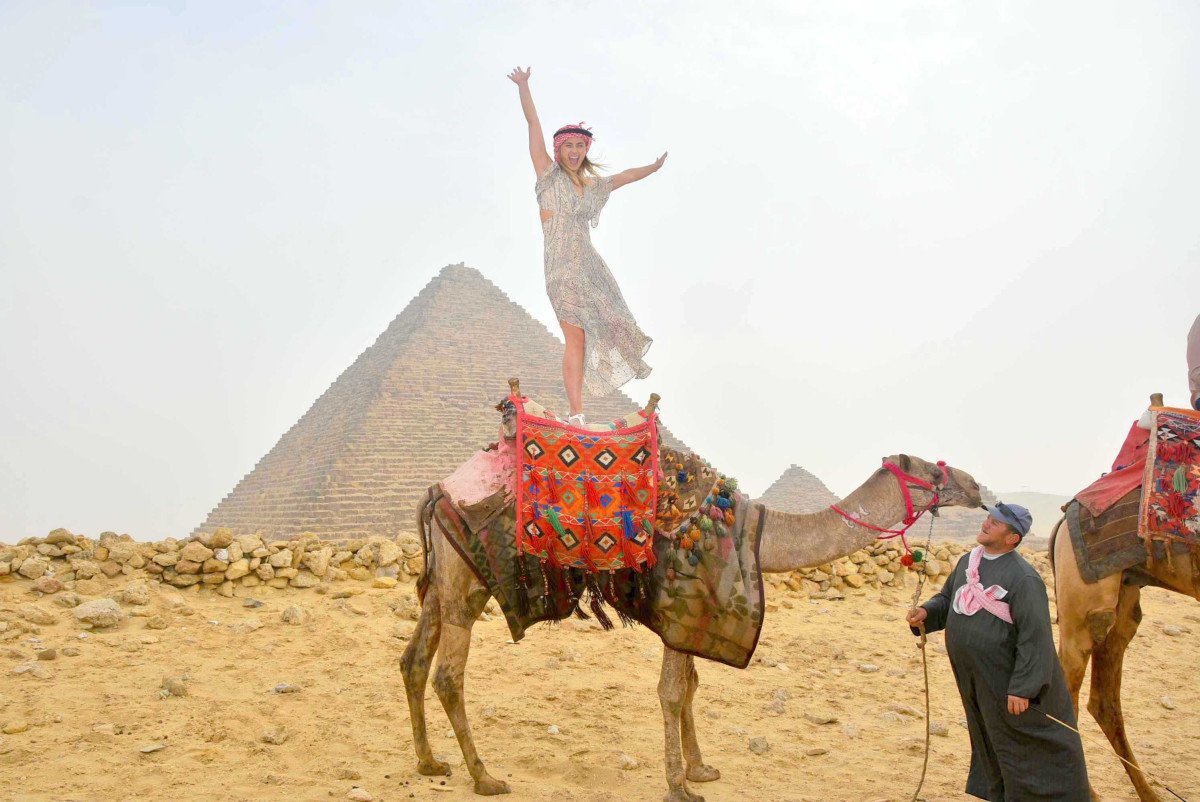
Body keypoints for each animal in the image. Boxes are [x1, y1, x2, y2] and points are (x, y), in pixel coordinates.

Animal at [400, 412, 982, 801]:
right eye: (935, 472)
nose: (977, 486)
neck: (759, 535)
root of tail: (435, 492)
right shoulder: (681, 606)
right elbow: (673, 691)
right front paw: (679, 784)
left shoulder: (694, 617)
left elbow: (690, 688)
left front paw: (700, 769)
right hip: (465, 587)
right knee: (448, 674)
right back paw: (484, 776)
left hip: (443, 587)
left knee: (413, 660)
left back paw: (430, 762)